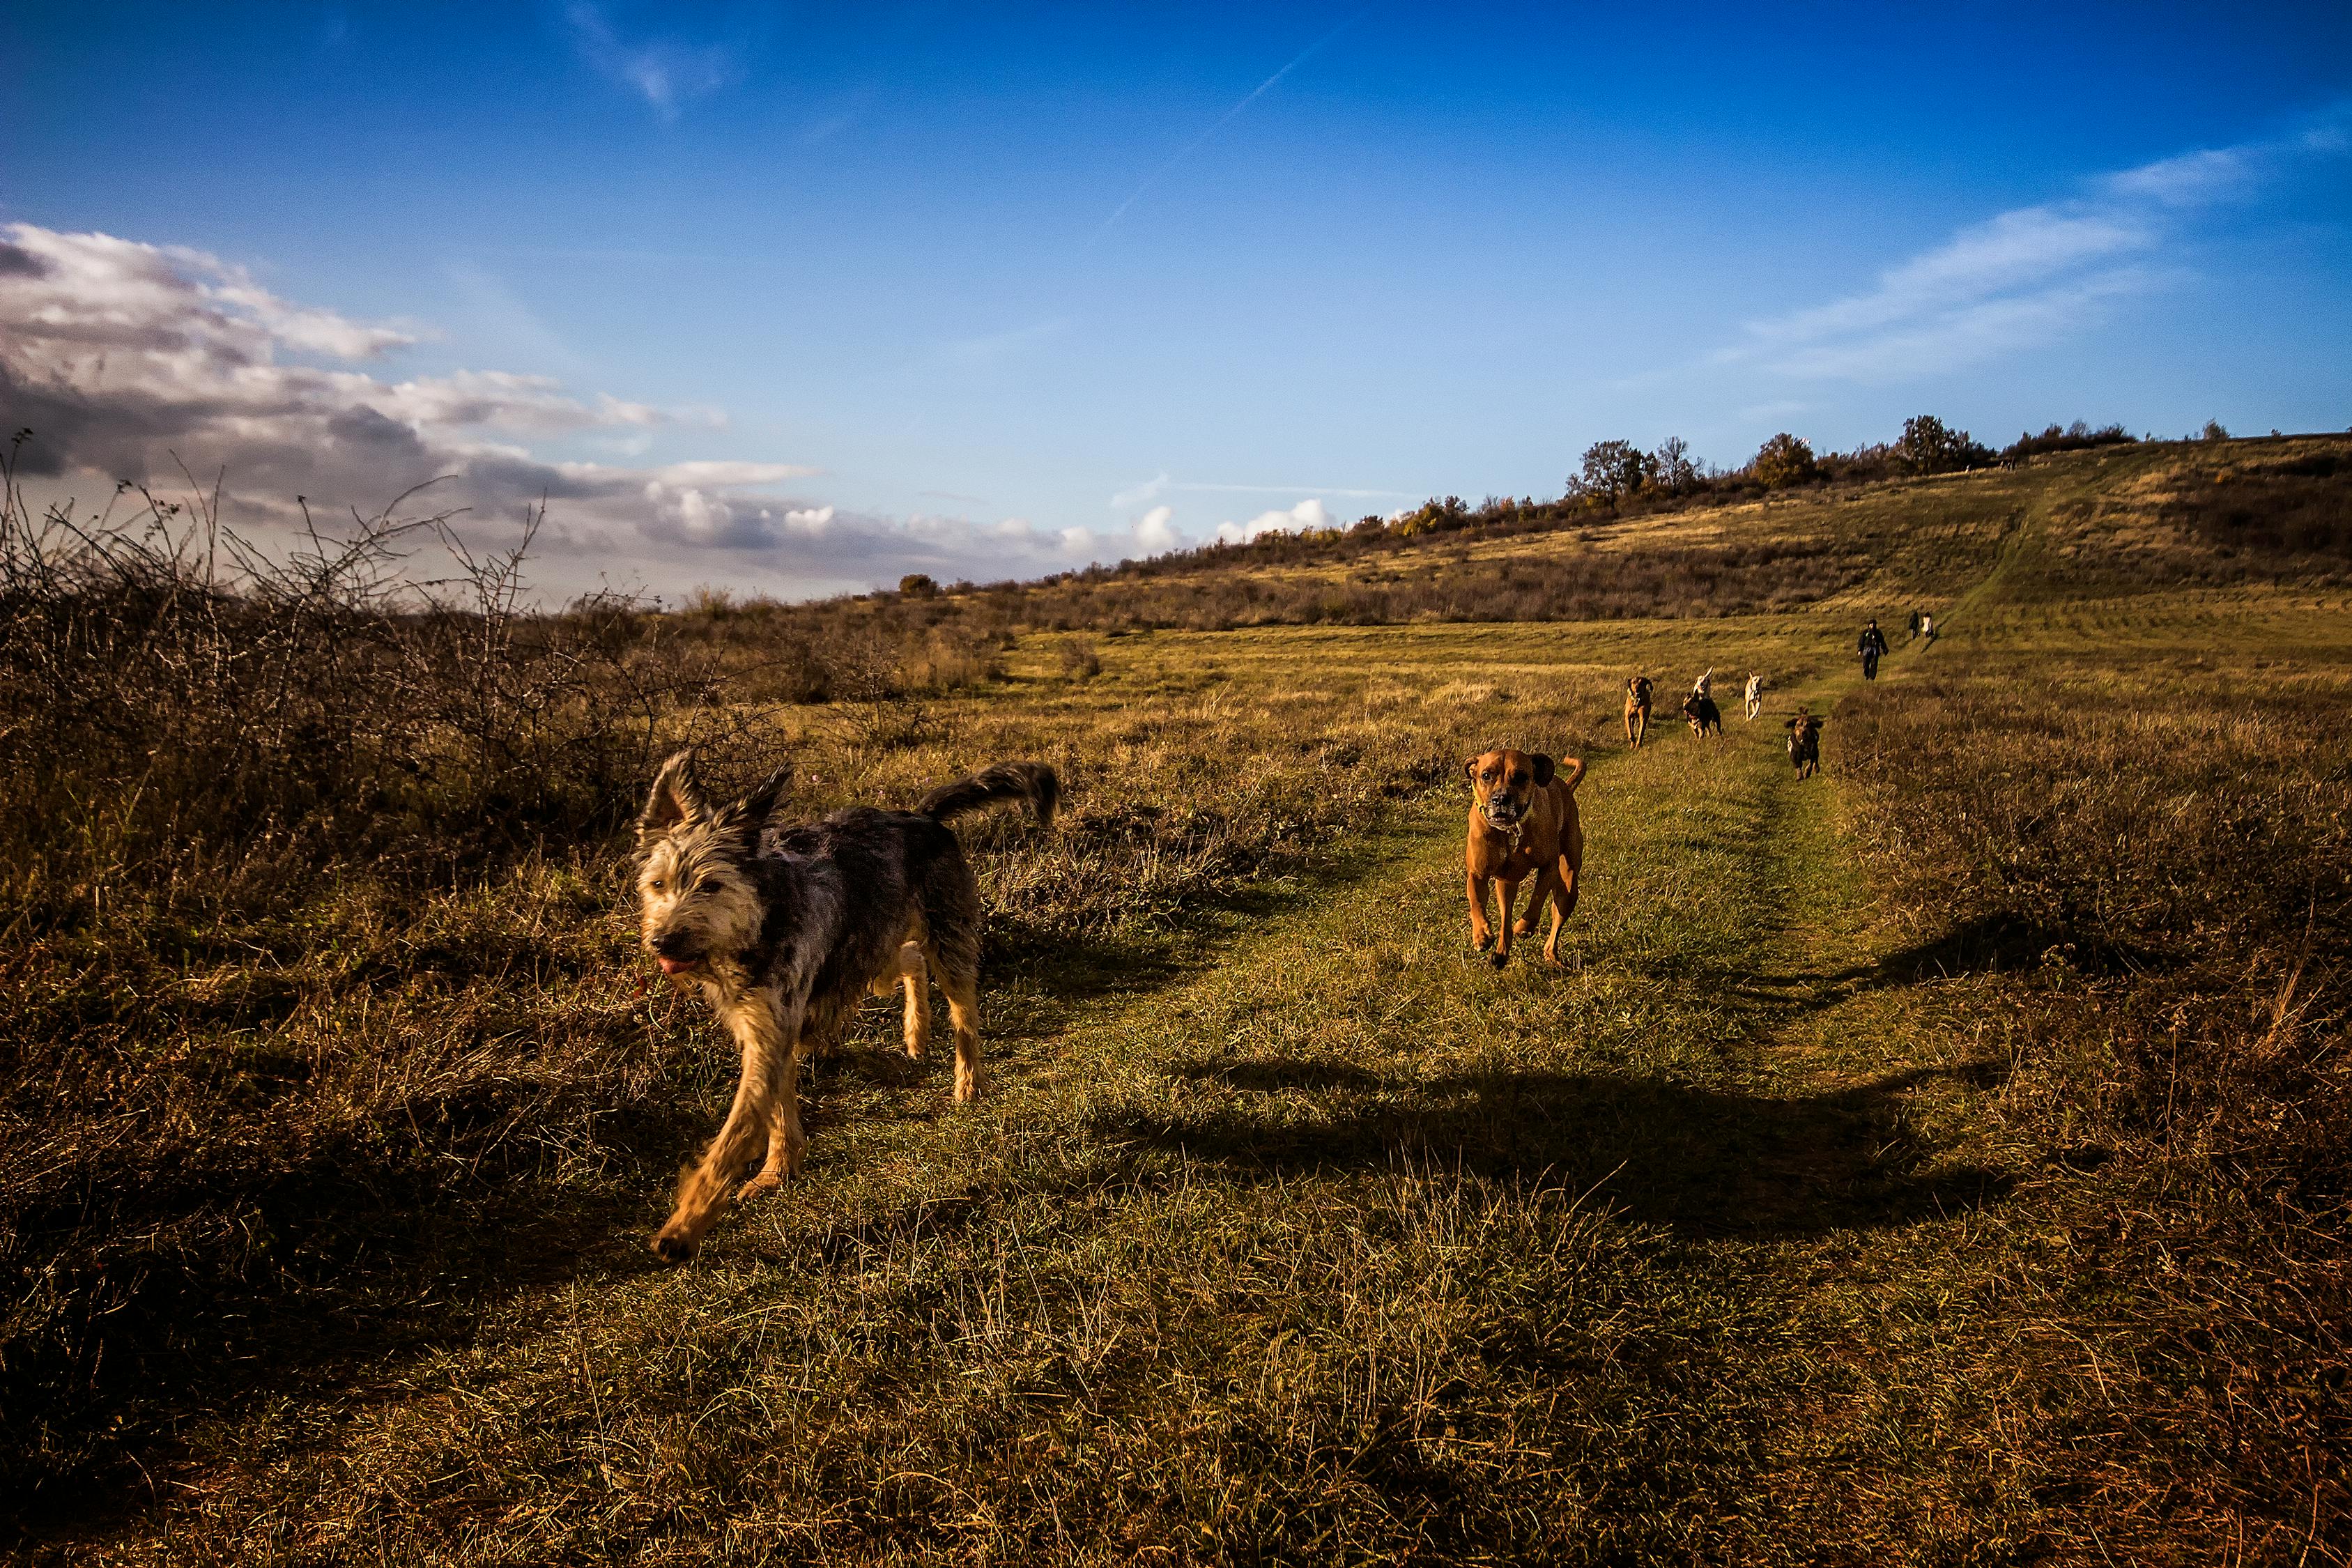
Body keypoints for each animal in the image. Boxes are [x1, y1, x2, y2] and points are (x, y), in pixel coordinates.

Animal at [635, 752, 1058, 1260]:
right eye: (658, 884)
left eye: (712, 885)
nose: (662, 940)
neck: (761, 920)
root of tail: (921, 815)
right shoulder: (764, 1026)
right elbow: (776, 1110)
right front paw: (779, 1169)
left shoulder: (772, 1030)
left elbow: (733, 1137)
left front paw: (683, 1228)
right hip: (872, 957)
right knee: (910, 958)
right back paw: (915, 1034)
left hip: (946, 941)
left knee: (964, 1015)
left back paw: (969, 1083)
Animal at [1458, 747, 1590, 968]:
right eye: (1486, 775)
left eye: (1520, 776)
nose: (1501, 799)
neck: (1509, 830)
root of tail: (1565, 787)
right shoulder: (1478, 874)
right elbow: (1476, 902)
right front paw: (1481, 935)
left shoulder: (1549, 866)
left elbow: (1537, 901)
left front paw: (1524, 927)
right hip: (1506, 884)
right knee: (1505, 919)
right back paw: (1500, 954)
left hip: (1569, 886)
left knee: (1557, 917)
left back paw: (1550, 954)